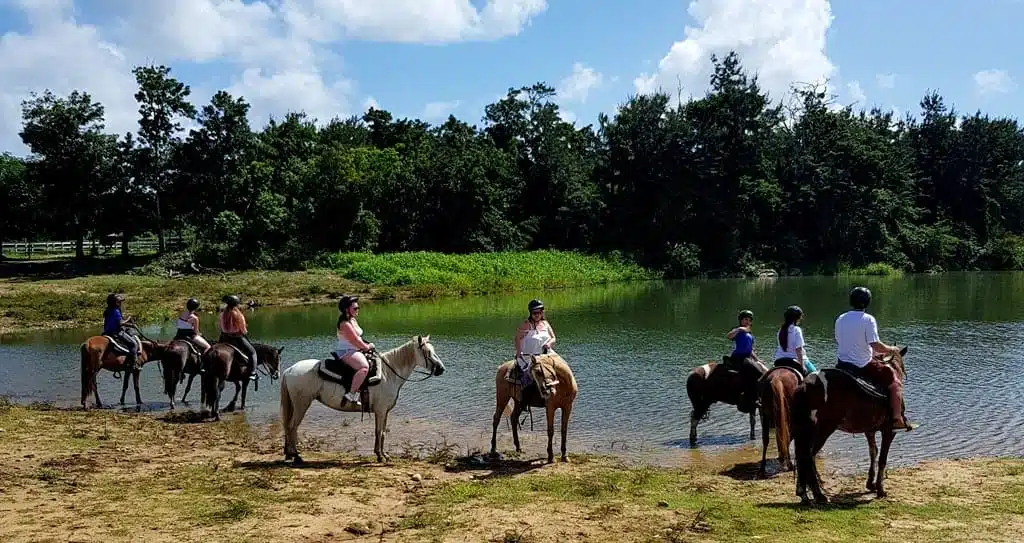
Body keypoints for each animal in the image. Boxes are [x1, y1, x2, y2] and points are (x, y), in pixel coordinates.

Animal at [280, 333, 444, 461]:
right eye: (427, 352)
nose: (441, 369)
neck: (388, 374)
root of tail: (290, 370)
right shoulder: (380, 410)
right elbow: (379, 431)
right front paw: (380, 456)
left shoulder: (384, 411)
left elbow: (382, 432)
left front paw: (383, 455)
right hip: (301, 404)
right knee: (292, 426)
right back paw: (296, 456)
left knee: (288, 426)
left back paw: (289, 454)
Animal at [790, 346, 913, 502]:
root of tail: (807, 385)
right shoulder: (889, 430)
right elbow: (882, 458)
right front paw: (880, 489)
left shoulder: (869, 430)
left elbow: (873, 452)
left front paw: (871, 484)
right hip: (822, 431)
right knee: (808, 457)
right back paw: (819, 495)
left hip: (804, 431)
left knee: (802, 458)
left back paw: (803, 493)